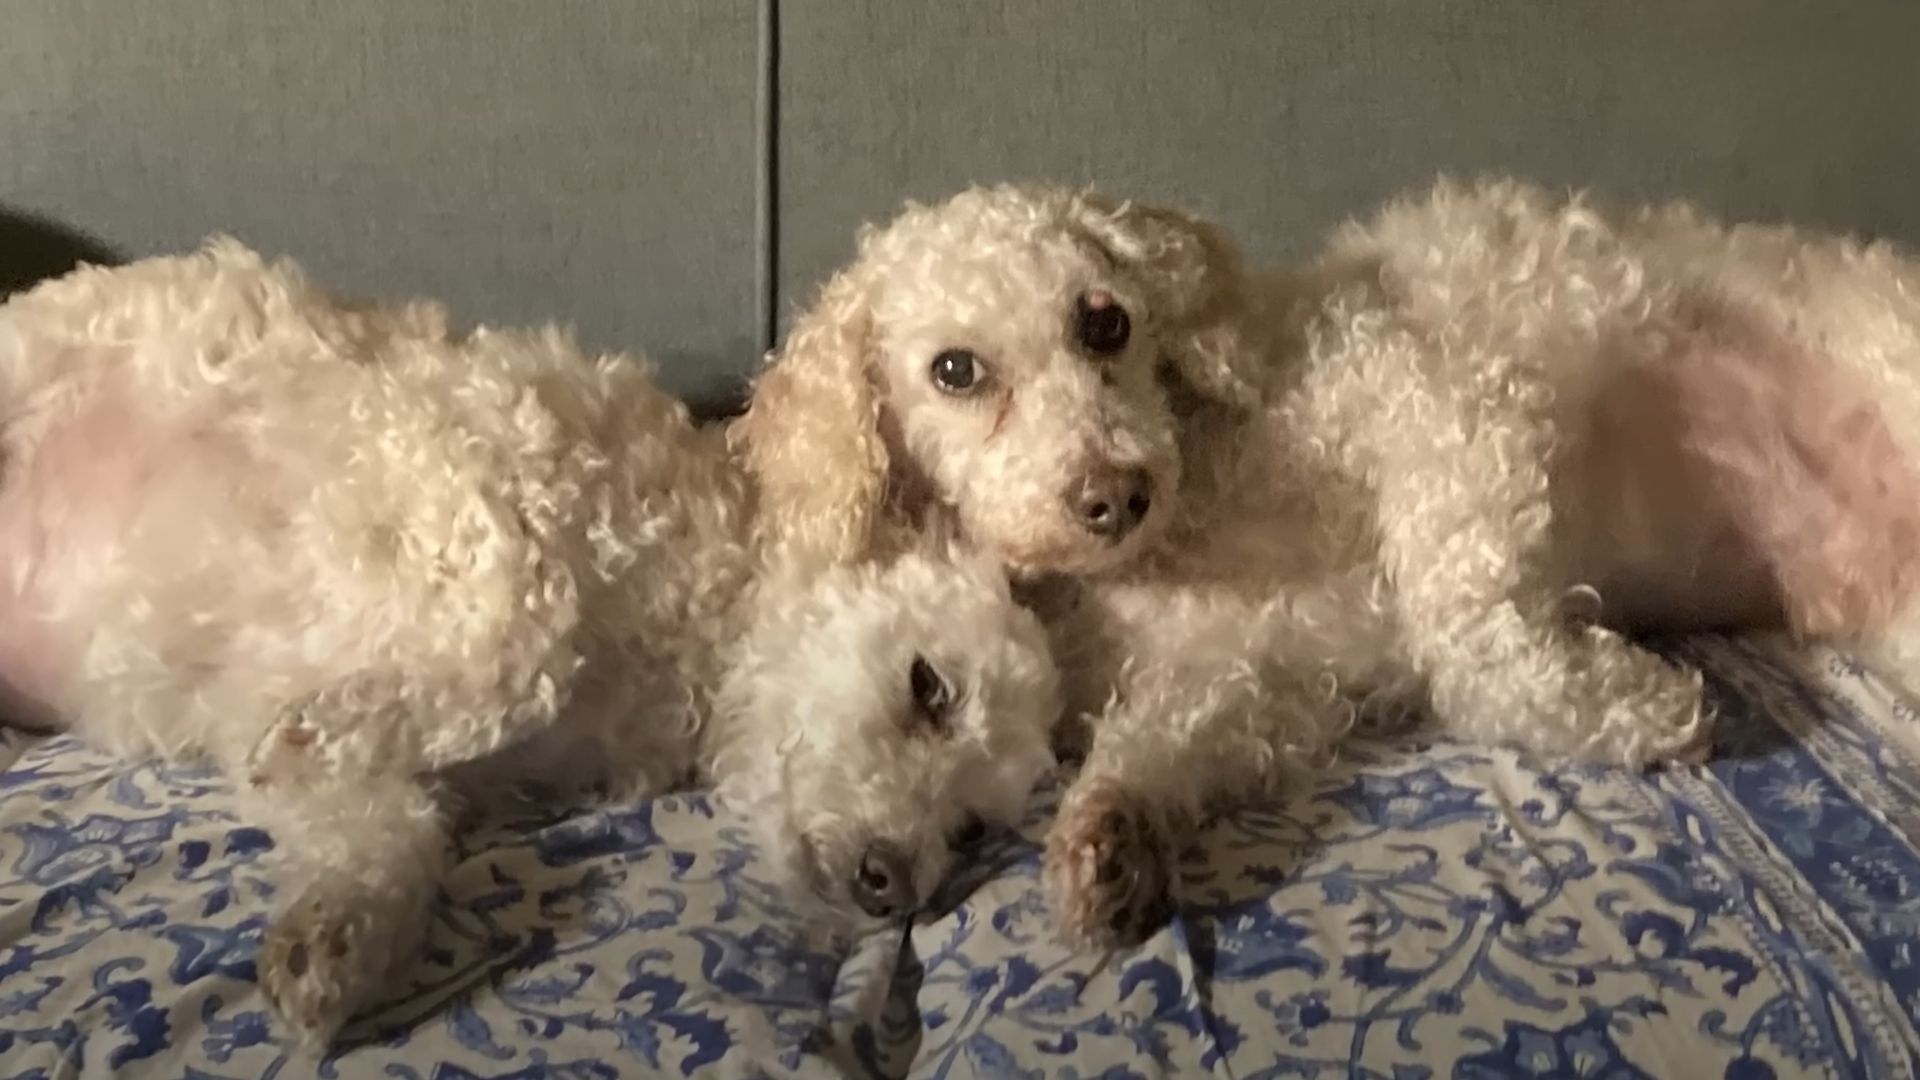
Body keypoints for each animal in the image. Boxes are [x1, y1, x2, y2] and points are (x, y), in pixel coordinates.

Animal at [0, 242, 1067, 1037]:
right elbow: (530, 647)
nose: (893, 886)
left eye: (972, 829)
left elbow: (386, 832)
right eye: (931, 689)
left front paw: (340, 937)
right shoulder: (461, 461)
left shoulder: (313, 740)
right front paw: (335, 729)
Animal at [729, 180, 1920, 945]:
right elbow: (1164, 748)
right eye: (956, 370)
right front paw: (1108, 843)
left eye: (1105, 323)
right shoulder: (1266, 676)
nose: (1118, 492)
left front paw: (1632, 705)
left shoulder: (1454, 413)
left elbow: (1471, 638)